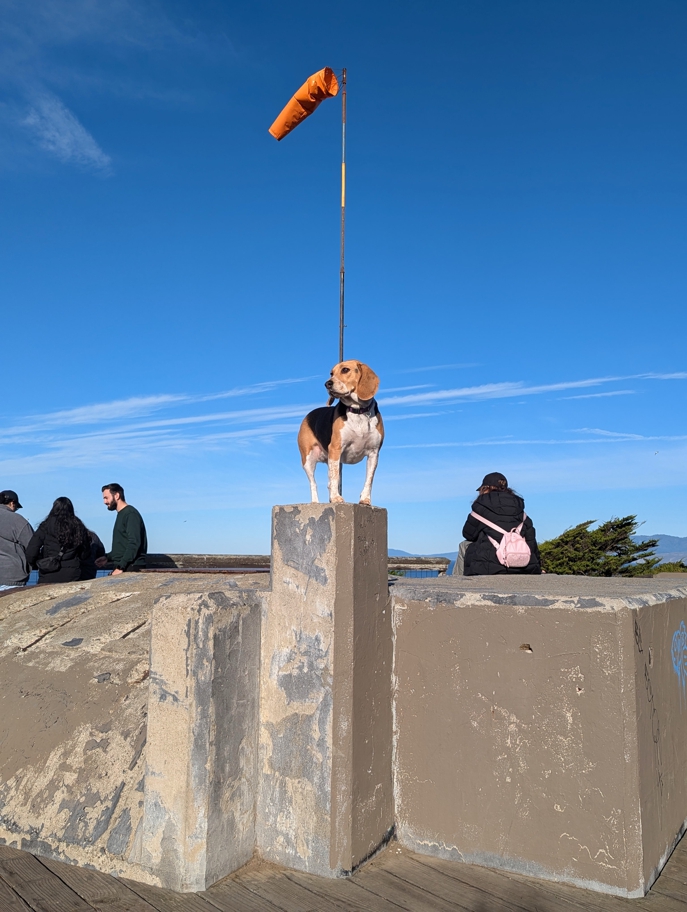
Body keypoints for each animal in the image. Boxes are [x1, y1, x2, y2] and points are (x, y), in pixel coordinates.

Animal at [296, 360, 384, 506]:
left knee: (329, 481)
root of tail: (309, 414)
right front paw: (336, 498)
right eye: (331, 373)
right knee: (314, 483)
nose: (327, 383)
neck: (358, 411)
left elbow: (369, 480)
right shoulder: (336, 448)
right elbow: (334, 477)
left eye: (345, 370)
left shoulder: (374, 453)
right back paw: (315, 502)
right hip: (308, 459)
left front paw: (365, 499)